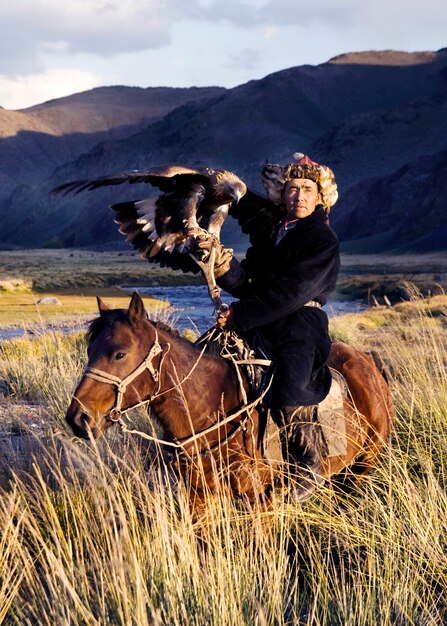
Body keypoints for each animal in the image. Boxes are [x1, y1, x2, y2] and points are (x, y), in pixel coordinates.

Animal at [65, 290, 396, 510]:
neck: (213, 410)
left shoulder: (261, 503)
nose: (78, 418)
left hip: (363, 467)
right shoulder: (199, 497)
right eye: (89, 351)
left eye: (120, 354)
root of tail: (367, 359)